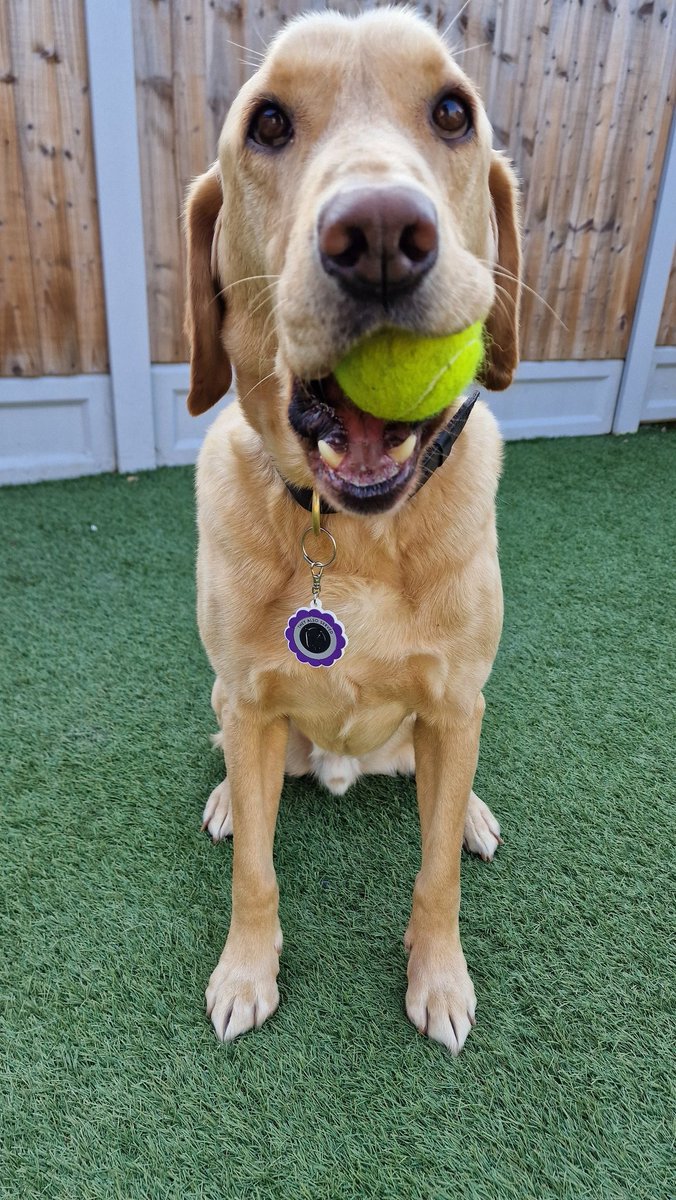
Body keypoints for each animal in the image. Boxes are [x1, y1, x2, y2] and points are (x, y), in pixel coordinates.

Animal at [184, 11, 523, 1060]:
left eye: (452, 112)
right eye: (268, 122)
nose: (378, 235)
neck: (355, 540)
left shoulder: (453, 703)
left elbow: (435, 873)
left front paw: (439, 978)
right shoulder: (252, 703)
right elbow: (255, 869)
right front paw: (246, 973)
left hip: (444, 727)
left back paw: (474, 814)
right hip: (243, 714)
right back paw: (227, 798)